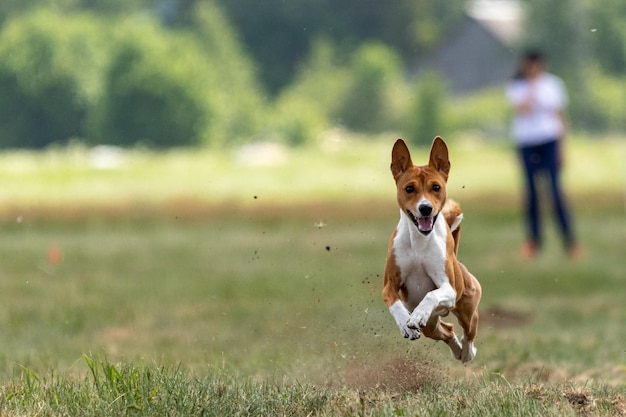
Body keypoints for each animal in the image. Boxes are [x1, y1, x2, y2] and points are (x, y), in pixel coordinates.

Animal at [380, 138, 478, 362]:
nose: (425, 208)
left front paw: (418, 314)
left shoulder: (448, 289)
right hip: (431, 326)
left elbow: (431, 294)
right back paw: (457, 350)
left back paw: (467, 352)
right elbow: (395, 303)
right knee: (448, 330)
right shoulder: (389, 285)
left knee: (470, 328)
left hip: (465, 307)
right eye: (409, 188)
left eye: (436, 187)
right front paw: (406, 323)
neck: (419, 241)